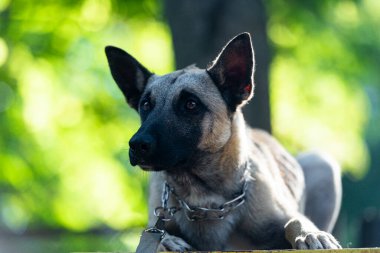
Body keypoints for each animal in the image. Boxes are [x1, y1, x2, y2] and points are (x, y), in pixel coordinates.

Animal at [105, 32, 342, 251]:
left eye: (191, 104)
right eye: (146, 105)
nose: (137, 144)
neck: (205, 201)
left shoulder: (283, 216)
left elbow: (295, 221)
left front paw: (310, 234)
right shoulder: (154, 227)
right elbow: (153, 236)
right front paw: (168, 241)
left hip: (321, 163)